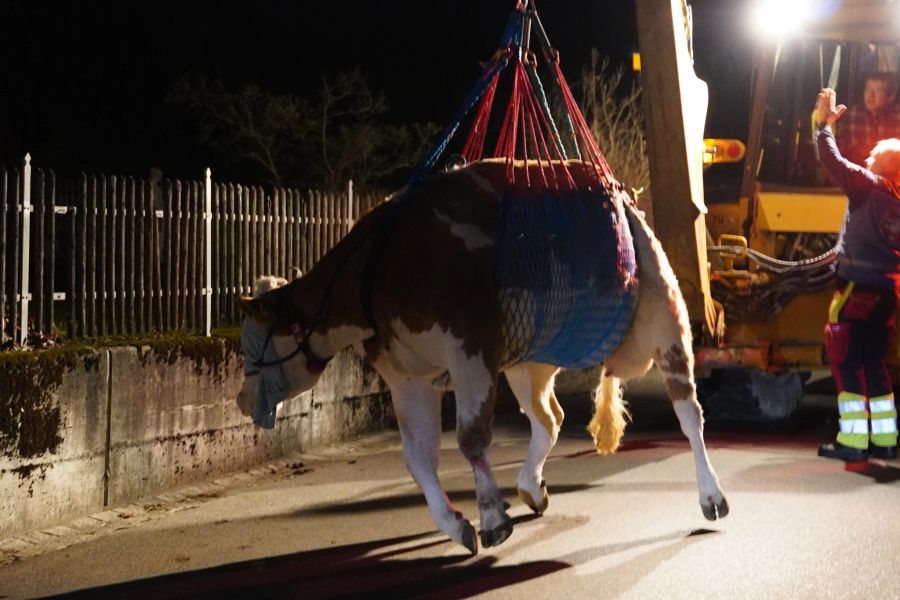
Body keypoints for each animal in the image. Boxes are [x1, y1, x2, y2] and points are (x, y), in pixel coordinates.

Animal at [236, 158, 728, 552]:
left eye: (252, 344)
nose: (240, 401)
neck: (383, 267)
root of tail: (621, 194)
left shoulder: (470, 354)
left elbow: (471, 438)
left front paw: (491, 515)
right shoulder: (406, 375)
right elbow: (418, 458)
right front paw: (455, 524)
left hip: (666, 319)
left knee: (690, 414)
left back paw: (711, 495)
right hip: (530, 360)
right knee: (549, 419)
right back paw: (530, 486)